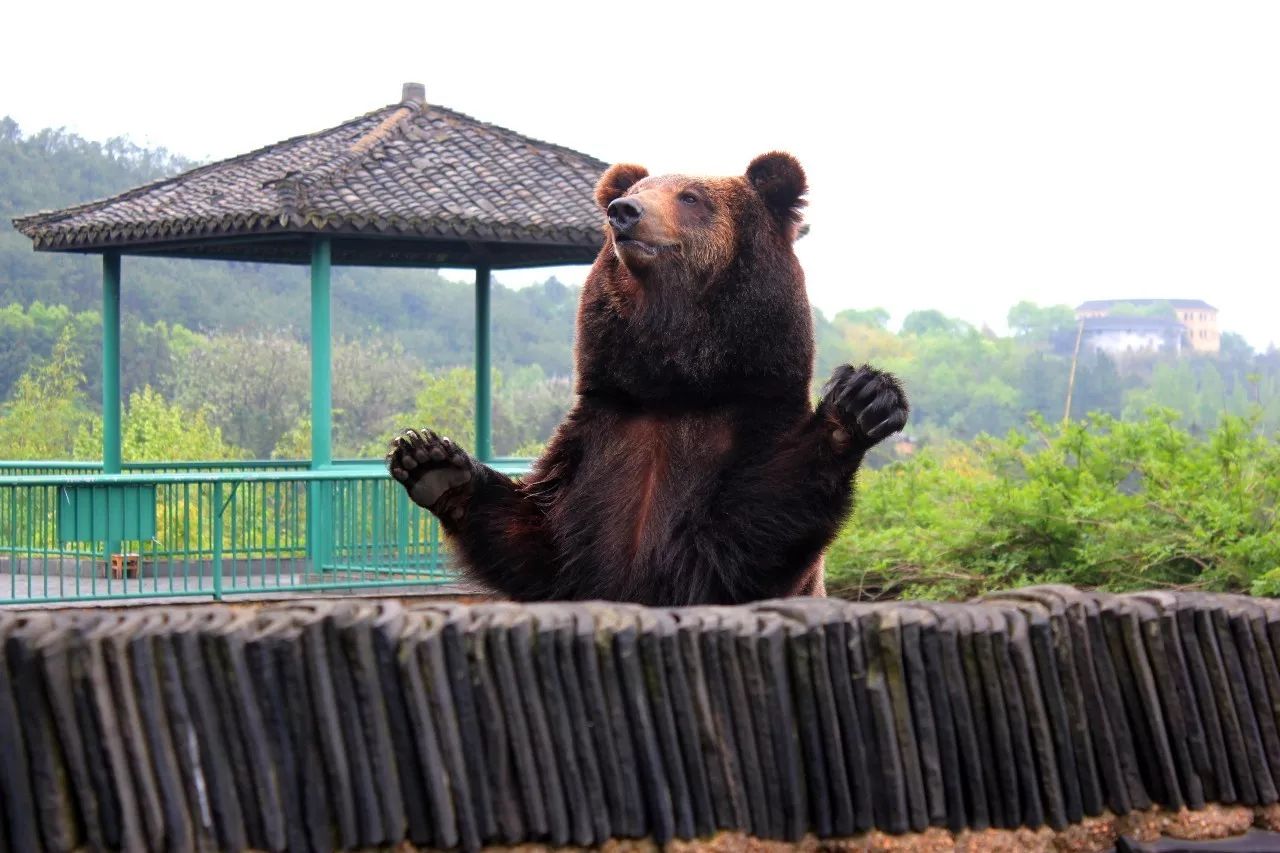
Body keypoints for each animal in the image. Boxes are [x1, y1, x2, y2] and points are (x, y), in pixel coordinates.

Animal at [389, 154, 911, 604]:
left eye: (691, 196)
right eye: (636, 190)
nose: (624, 212)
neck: (676, 388)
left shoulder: (748, 428)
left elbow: (758, 525)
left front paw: (862, 400)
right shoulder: (600, 440)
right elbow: (538, 539)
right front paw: (432, 460)